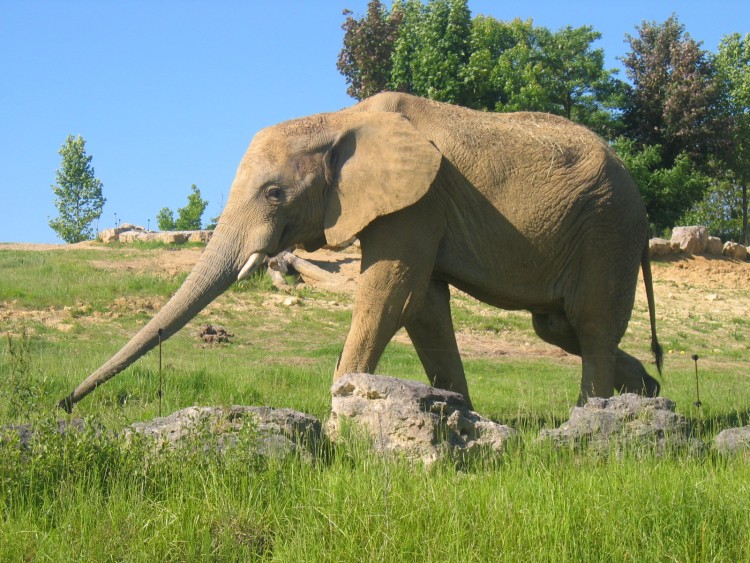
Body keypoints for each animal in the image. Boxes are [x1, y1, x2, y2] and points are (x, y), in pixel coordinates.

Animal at [60, 90, 664, 412]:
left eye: (274, 194)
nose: (63, 405)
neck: (339, 118)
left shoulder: (417, 201)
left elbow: (390, 296)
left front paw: (342, 410)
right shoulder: (420, 207)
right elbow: (424, 308)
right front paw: (457, 412)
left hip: (607, 230)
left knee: (589, 325)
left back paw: (592, 416)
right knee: (560, 327)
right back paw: (650, 395)